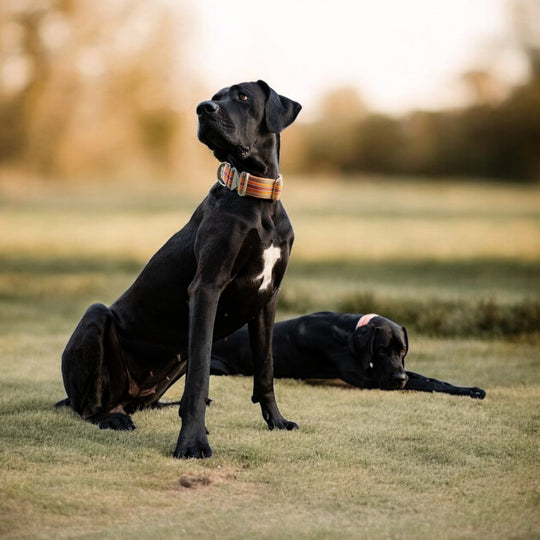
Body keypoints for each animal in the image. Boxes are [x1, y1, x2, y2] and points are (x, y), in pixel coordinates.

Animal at [59, 81, 304, 460]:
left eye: (242, 96)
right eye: (215, 98)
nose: (204, 109)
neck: (257, 197)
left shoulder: (268, 300)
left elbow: (265, 369)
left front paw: (276, 421)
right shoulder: (206, 288)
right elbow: (200, 379)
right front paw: (192, 442)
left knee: (143, 401)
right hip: (97, 316)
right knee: (88, 405)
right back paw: (112, 418)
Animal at [211, 310, 486, 398]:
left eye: (402, 350)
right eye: (381, 349)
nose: (399, 380)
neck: (348, 334)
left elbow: (429, 379)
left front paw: (470, 389)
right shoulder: (373, 379)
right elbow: (422, 383)